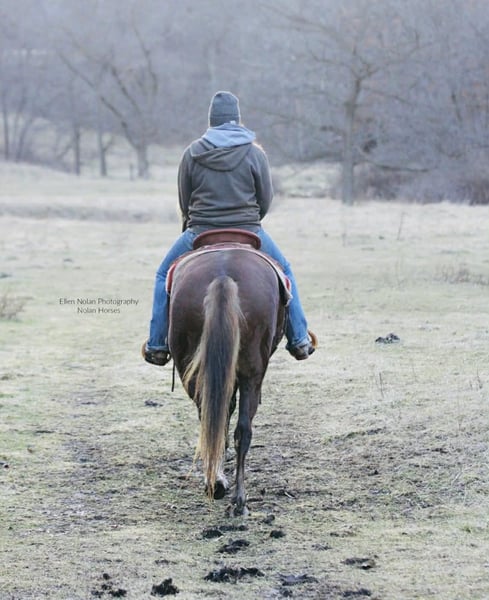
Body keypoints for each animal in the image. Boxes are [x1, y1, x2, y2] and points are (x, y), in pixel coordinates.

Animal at [167, 235, 286, 515]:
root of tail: (223, 277)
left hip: (196, 369)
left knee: (212, 418)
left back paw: (217, 484)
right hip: (252, 373)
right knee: (241, 429)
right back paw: (238, 499)